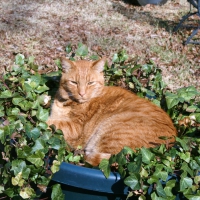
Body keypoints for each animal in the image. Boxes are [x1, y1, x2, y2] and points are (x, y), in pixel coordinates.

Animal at [47, 57, 177, 166]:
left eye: (90, 83)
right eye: (74, 82)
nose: (82, 93)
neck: (67, 103)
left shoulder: (75, 128)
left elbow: (51, 123)